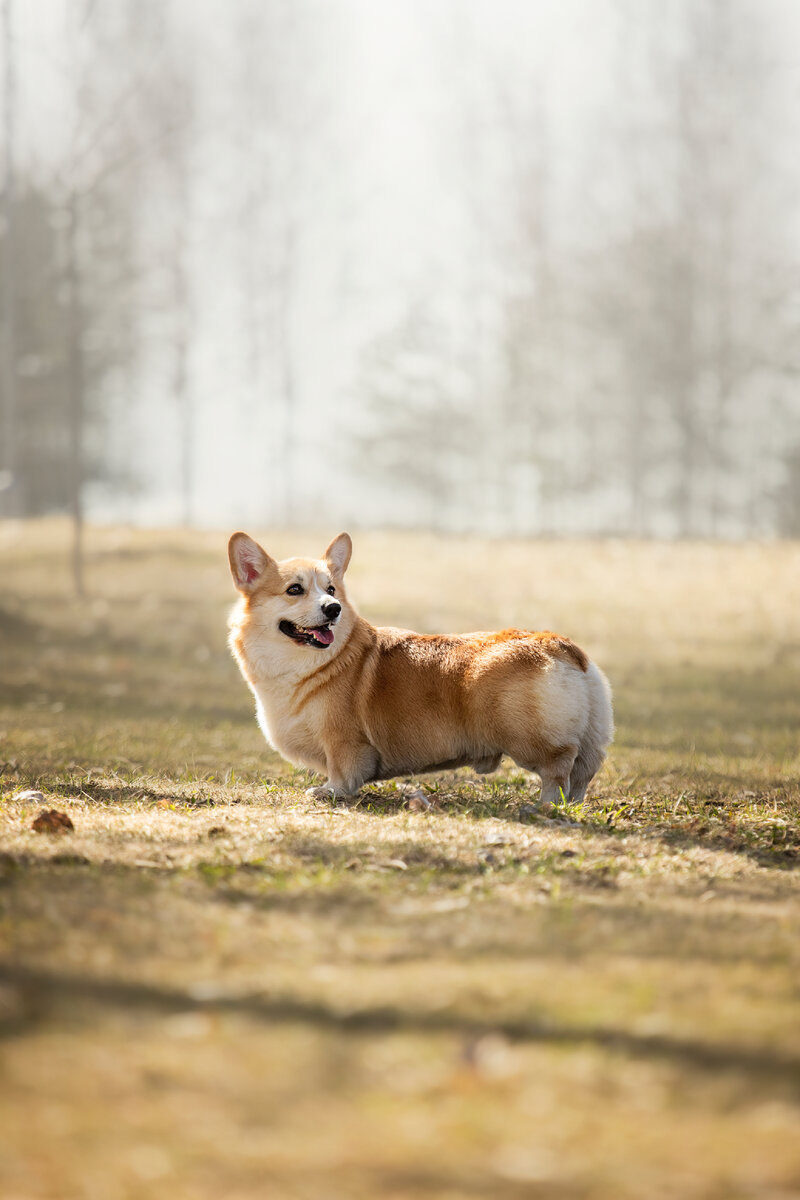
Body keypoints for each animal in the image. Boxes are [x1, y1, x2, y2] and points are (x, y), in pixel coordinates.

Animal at [227, 535, 618, 806]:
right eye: (295, 590)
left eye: (331, 589)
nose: (333, 608)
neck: (310, 666)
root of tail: (562, 646)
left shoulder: (344, 742)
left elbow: (343, 774)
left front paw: (330, 792)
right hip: (592, 737)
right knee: (584, 773)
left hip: (532, 740)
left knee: (559, 770)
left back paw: (547, 805)